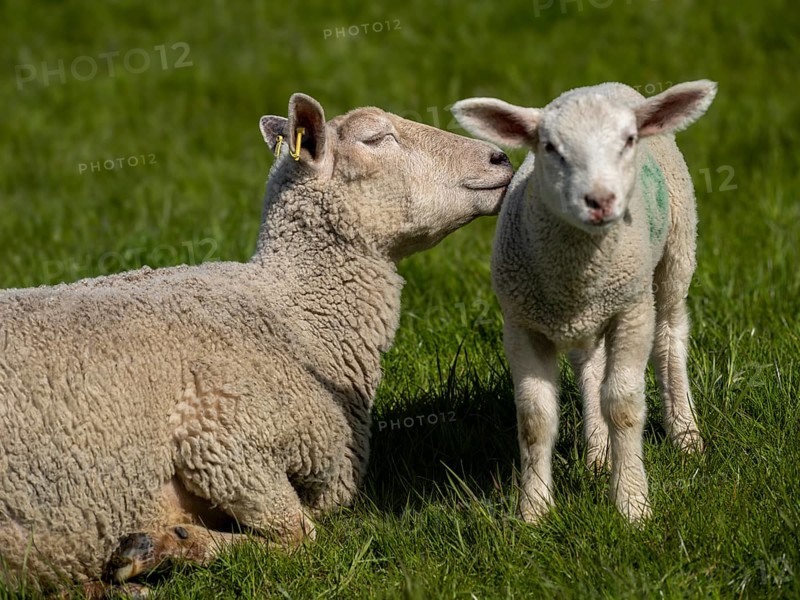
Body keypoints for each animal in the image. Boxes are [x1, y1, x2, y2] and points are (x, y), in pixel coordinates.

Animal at [0, 92, 513, 593]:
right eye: (375, 138)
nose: (500, 157)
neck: (293, 312)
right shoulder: (222, 437)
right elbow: (299, 537)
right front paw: (169, 545)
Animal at [451, 80, 717, 522]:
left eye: (628, 141)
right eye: (550, 146)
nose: (600, 200)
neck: (579, 272)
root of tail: (608, 85)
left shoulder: (631, 311)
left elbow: (623, 405)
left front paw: (632, 505)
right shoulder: (521, 323)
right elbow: (535, 417)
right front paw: (534, 511)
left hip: (677, 251)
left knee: (669, 336)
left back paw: (685, 434)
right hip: (589, 313)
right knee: (589, 365)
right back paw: (597, 453)